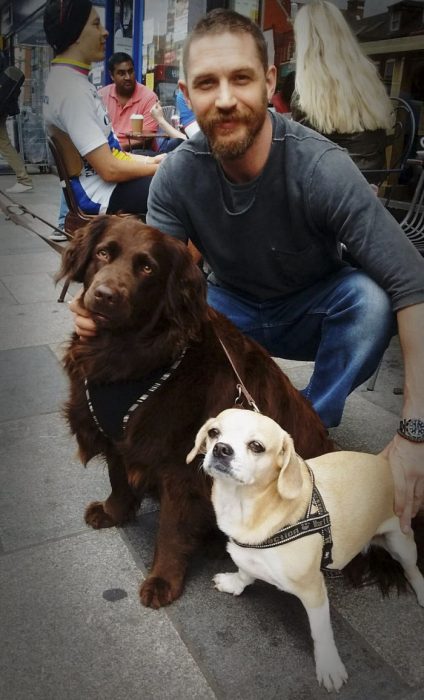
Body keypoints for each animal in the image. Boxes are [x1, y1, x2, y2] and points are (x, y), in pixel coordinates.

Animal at [57, 217, 334, 608]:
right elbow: (118, 478)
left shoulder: (183, 468)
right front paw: (113, 513)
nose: (105, 294)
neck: (127, 353)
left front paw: (163, 580)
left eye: (147, 268)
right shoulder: (120, 438)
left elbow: (172, 527)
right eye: (103, 253)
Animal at [187, 408, 424, 692]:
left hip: (401, 542)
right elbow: (245, 571)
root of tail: (384, 463)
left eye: (256, 446)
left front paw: (329, 665)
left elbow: (321, 633)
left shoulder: (314, 591)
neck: (246, 508)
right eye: (214, 432)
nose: (221, 449)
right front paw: (235, 583)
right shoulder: (246, 556)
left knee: (413, 570)